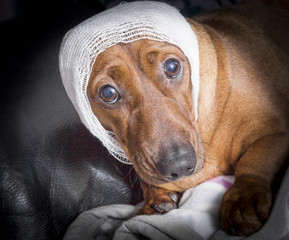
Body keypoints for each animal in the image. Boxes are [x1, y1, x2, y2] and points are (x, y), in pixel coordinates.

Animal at [85, 0, 288, 236]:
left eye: (172, 67)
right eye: (108, 93)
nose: (179, 166)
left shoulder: (278, 133)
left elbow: (253, 160)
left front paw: (243, 197)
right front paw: (155, 198)